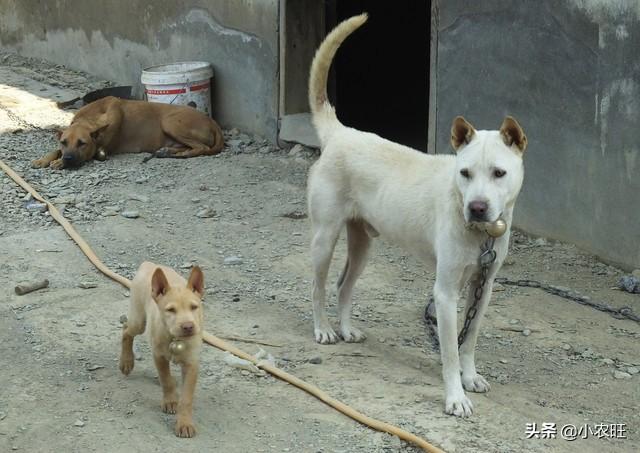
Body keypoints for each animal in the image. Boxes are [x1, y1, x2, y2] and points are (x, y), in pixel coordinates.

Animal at [31, 96, 225, 170]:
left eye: (82, 143)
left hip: (170, 122)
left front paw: (58, 162)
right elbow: (55, 150)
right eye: (64, 142)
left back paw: (181, 155)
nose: (68, 159)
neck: (89, 118)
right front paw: (45, 159)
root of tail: (212, 121)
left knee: (202, 148)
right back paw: (167, 151)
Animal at [120, 264, 205, 436]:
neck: (175, 339)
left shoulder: (192, 364)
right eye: (170, 310)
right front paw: (170, 400)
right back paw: (126, 362)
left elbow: (186, 398)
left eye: (194, 307)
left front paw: (184, 423)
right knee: (126, 330)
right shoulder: (159, 356)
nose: (188, 326)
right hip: (139, 321)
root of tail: (149, 264)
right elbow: (165, 379)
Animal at [308, 14, 528, 416]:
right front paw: (455, 396)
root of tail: (342, 133)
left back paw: (346, 329)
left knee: (343, 285)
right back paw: (324, 329)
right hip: (325, 238)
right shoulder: (444, 294)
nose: (477, 208)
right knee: (318, 286)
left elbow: (469, 339)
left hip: (362, 245)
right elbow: (450, 352)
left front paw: (471, 377)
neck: (479, 231)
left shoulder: (483, 287)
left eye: (499, 173)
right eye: (465, 173)